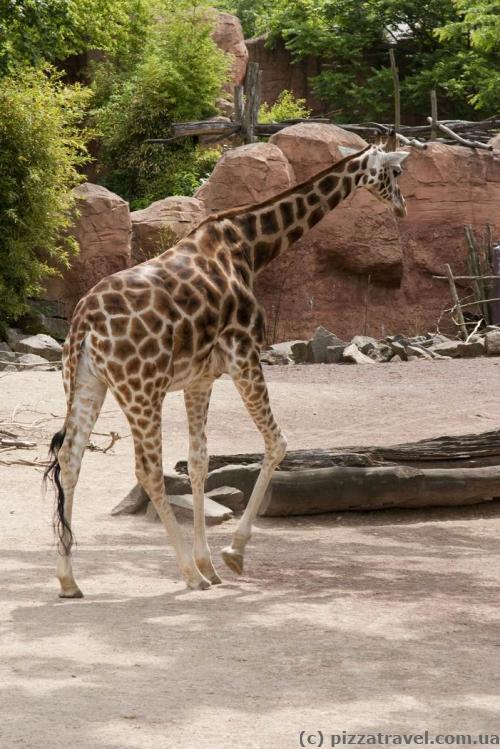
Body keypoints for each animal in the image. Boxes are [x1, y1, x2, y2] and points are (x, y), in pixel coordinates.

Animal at [45, 140, 408, 596]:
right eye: (396, 173)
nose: (403, 208)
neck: (252, 247)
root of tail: (83, 326)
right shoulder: (243, 353)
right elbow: (278, 443)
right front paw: (232, 554)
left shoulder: (200, 378)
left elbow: (199, 461)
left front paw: (211, 562)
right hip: (141, 389)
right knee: (146, 470)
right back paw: (187, 574)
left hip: (86, 383)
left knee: (70, 459)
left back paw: (68, 579)